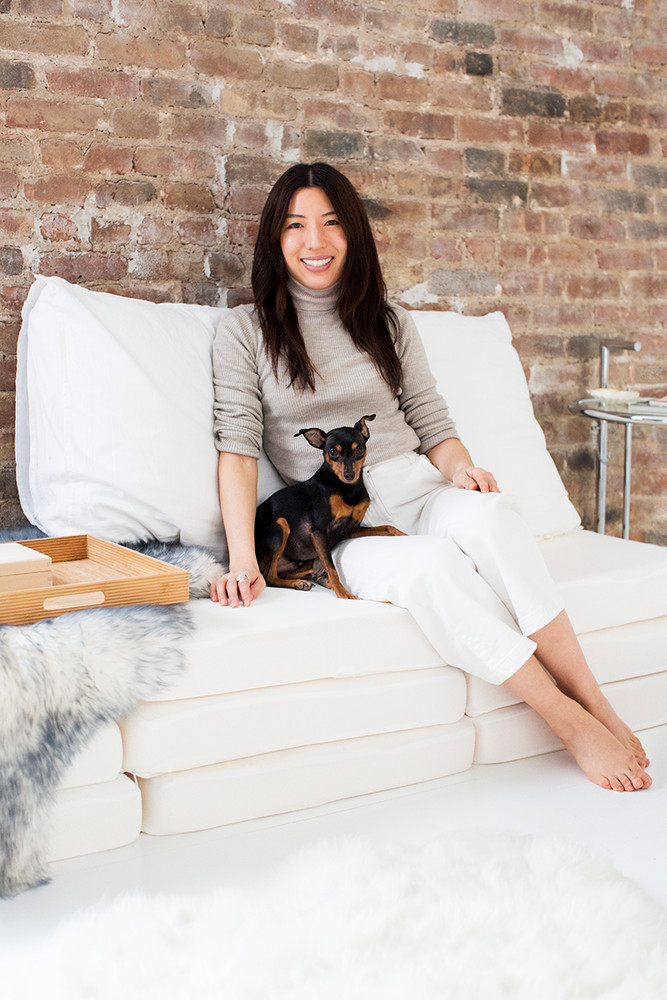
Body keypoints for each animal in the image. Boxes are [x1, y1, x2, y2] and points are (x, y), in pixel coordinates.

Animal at [254, 412, 402, 596]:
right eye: (332, 452)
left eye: (359, 450)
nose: (349, 475)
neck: (346, 489)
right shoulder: (319, 531)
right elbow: (331, 568)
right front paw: (343, 593)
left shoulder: (349, 531)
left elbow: (389, 528)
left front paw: (405, 535)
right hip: (282, 525)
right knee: (269, 577)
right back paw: (300, 582)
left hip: (305, 554)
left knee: (284, 572)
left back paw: (311, 575)